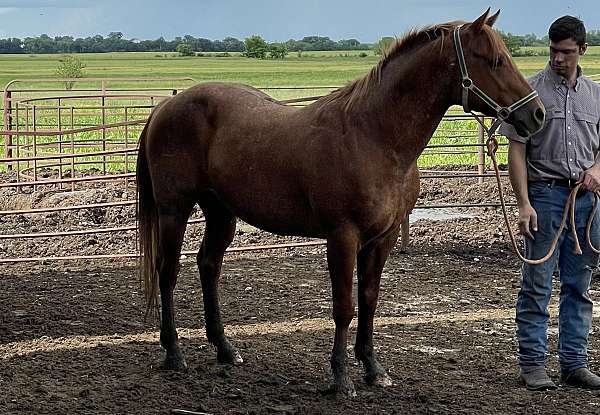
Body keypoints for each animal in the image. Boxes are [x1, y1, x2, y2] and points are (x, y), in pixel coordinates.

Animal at [137, 8, 548, 394]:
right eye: (494, 60)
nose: (537, 114)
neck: (373, 136)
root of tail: (164, 109)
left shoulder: (382, 238)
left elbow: (369, 300)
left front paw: (373, 368)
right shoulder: (342, 236)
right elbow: (344, 307)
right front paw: (340, 377)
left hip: (221, 212)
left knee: (208, 266)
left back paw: (225, 349)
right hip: (174, 210)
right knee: (168, 273)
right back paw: (173, 352)